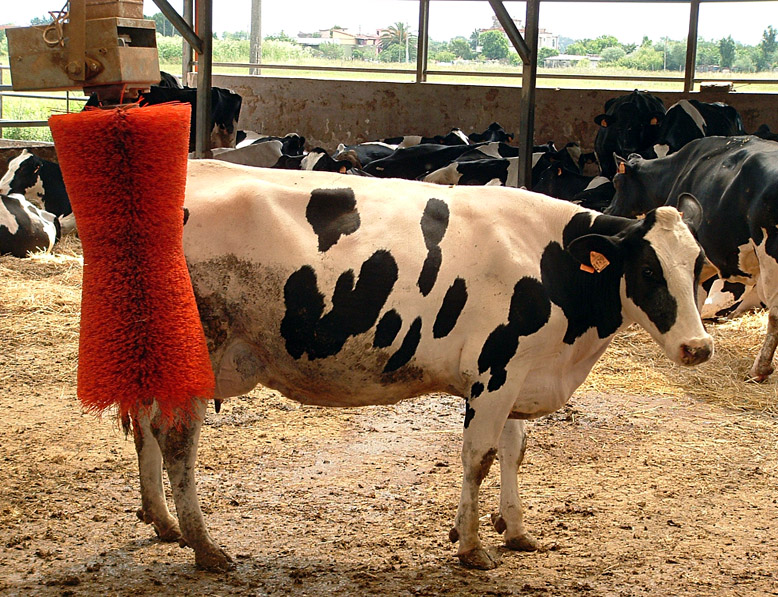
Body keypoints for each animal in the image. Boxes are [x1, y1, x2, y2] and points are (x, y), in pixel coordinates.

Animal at [127, 160, 712, 572]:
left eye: (699, 267)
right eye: (647, 270)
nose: (699, 348)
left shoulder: (520, 372)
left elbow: (514, 451)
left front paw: (515, 530)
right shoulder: (495, 371)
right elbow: (479, 457)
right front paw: (472, 546)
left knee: (144, 427)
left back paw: (163, 522)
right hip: (196, 354)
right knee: (176, 443)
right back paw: (206, 548)